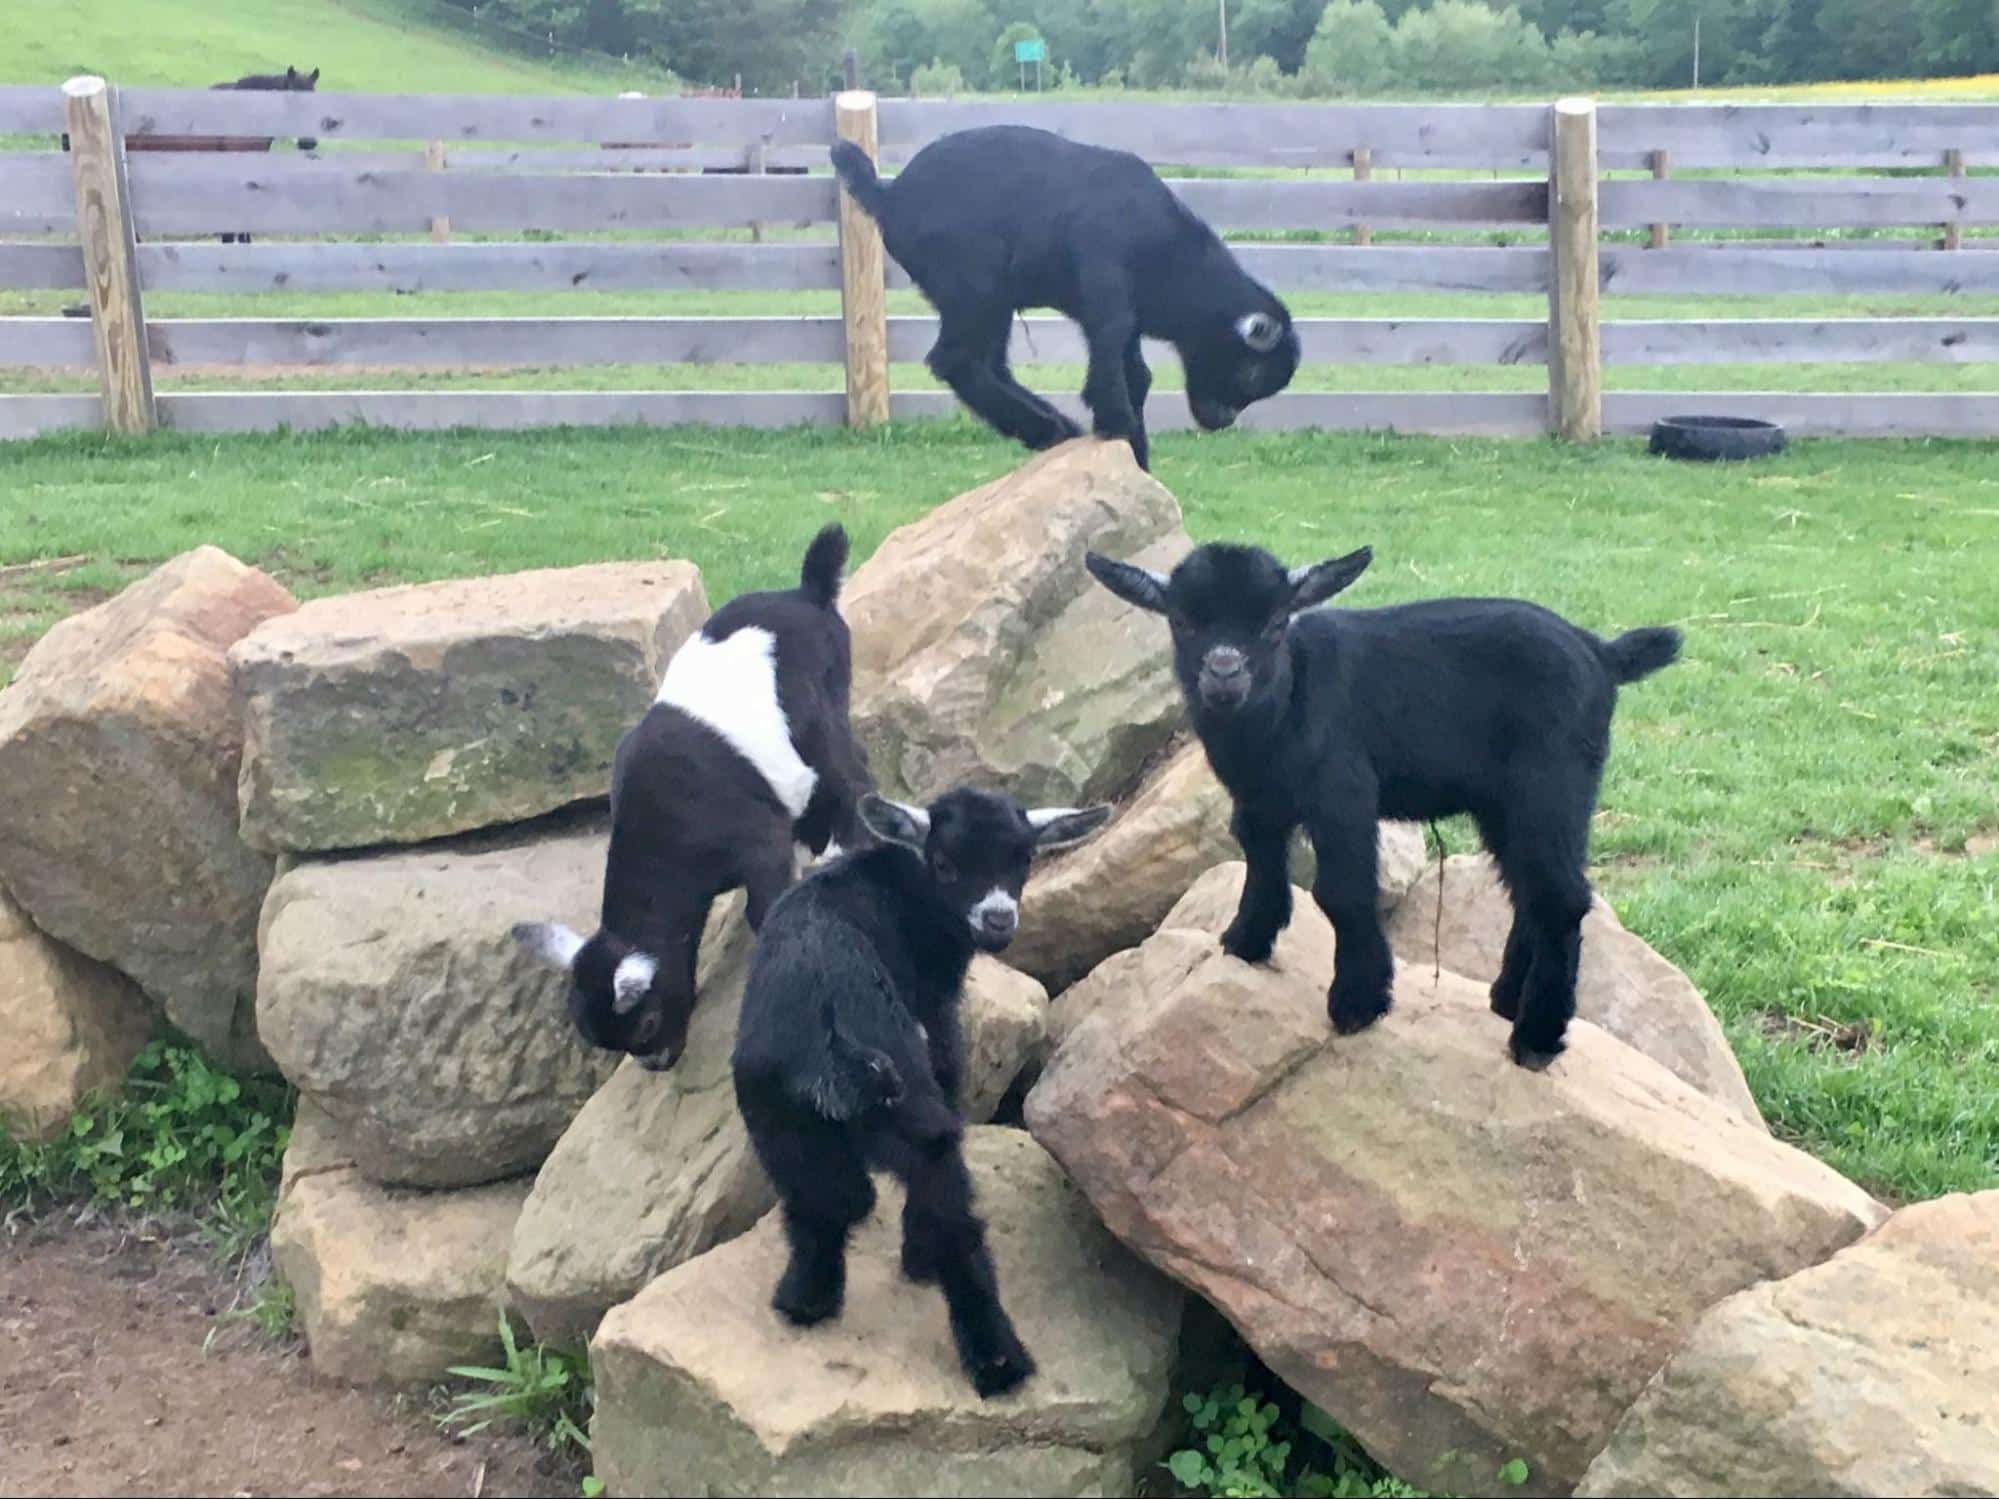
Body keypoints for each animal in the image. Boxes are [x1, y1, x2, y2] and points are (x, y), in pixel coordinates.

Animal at [514, 524, 873, 1072]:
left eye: (646, 1023)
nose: (657, 1064)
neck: (666, 842)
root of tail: (808, 591)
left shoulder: (756, 841)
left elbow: (765, 904)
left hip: (820, 710)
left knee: (847, 771)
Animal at [732, 788, 1110, 1396]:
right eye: (946, 865)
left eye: (1023, 859)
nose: (998, 919)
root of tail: (832, 1047)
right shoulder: (937, 1018)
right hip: (908, 1096)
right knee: (948, 1204)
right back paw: (995, 1358)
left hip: (777, 1118)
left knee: (826, 1200)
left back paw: (803, 1301)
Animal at [831, 125, 1301, 472]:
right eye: (1251, 374)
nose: (1222, 421)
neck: (1170, 255)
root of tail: (889, 197)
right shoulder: (1106, 281)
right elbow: (1109, 373)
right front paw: (1119, 430)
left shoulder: (1128, 316)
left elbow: (1138, 376)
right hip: (974, 285)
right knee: (955, 360)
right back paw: (1046, 428)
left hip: (990, 300)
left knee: (989, 365)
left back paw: (1051, 423)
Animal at [1086, 542, 1681, 1070]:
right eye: (1181, 622)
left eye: (1274, 623)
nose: (1224, 673)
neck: (1284, 703)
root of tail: (1601, 652)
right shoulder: (1259, 801)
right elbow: (1260, 861)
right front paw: (1245, 941)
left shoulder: (1342, 791)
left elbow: (1341, 892)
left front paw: (1357, 1001)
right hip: (1508, 804)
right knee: (1528, 887)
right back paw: (1508, 999)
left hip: (1550, 783)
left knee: (1561, 897)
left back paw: (1535, 1037)